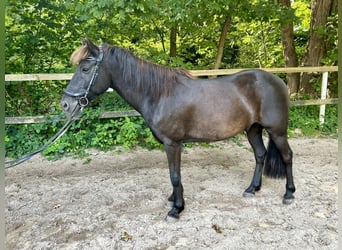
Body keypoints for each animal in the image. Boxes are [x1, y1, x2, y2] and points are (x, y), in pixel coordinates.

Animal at [62, 38, 296, 219]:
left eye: (85, 69)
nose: (65, 104)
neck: (159, 95)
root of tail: (279, 81)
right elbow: (174, 174)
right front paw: (174, 200)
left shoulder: (172, 143)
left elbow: (174, 175)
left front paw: (177, 209)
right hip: (253, 129)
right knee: (260, 155)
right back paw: (252, 189)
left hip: (277, 131)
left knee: (287, 156)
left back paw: (289, 194)